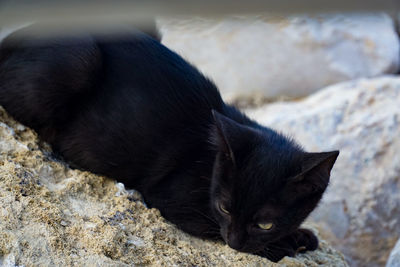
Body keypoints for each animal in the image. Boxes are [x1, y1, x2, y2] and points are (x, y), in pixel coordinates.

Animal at [0, 24, 338, 262]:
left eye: (266, 223)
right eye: (224, 208)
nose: (235, 242)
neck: (211, 163)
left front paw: (299, 234)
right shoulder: (173, 200)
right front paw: (287, 244)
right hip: (78, 60)